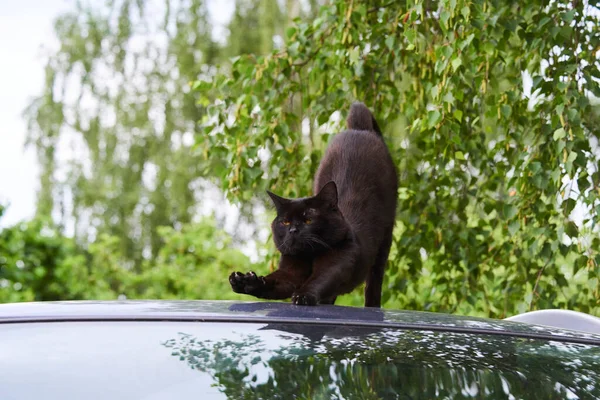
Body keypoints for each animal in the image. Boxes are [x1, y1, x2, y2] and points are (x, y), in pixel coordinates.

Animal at [231, 102, 398, 306]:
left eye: (308, 219)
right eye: (285, 222)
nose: (293, 230)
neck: (308, 256)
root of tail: (359, 129)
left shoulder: (338, 260)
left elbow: (320, 279)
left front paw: (303, 296)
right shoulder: (290, 270)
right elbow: (276, 281)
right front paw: (245, 281)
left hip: (385, 240)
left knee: (374, 281)